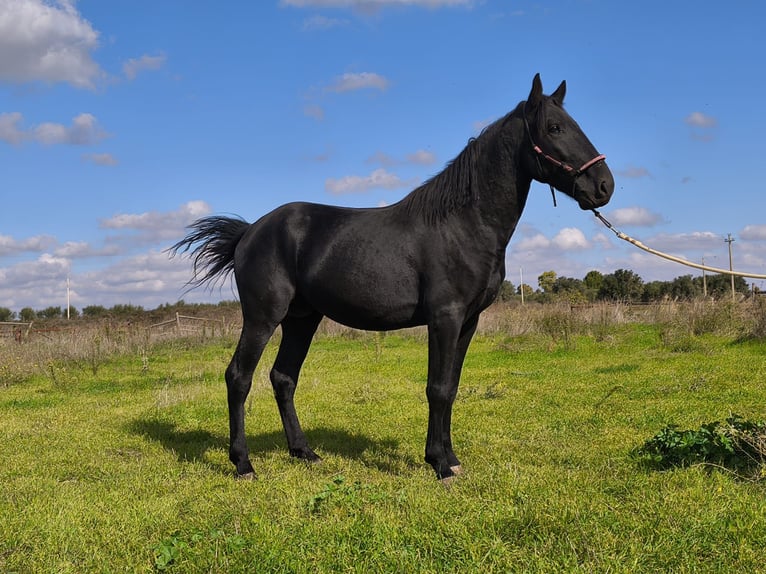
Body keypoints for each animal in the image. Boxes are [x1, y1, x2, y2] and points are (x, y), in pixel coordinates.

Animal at [171, 75, 616, 482]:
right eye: (554, 128)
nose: (603, 186)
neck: (464, 223)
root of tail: (250, 231)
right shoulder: (444, 318)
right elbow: (437, 388)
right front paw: (439, 465)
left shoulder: (468, 322)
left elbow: (452, 387)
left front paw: (451, 458)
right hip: (263, 317)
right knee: (239, 377)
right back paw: (243, 464)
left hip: (302, 319)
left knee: (283, 378)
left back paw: (304, 452)